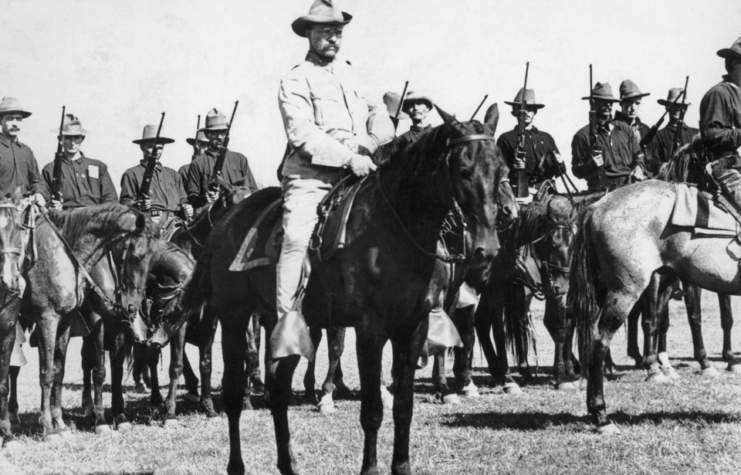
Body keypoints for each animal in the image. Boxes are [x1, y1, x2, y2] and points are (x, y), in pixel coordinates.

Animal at [180, 108, 506, 475]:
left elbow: (403, 406)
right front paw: (369, 468)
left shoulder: (413, 328)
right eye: (462, 170)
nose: (486, 250)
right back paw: (237, 464)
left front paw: (402, 466)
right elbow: (373, 410)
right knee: (235, 393)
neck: (392, 227)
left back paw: (288, 465)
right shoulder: (369, 329)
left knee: (279, 390)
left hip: (284, 325)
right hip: (234, 319)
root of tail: (224, 223)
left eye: (501, 170)